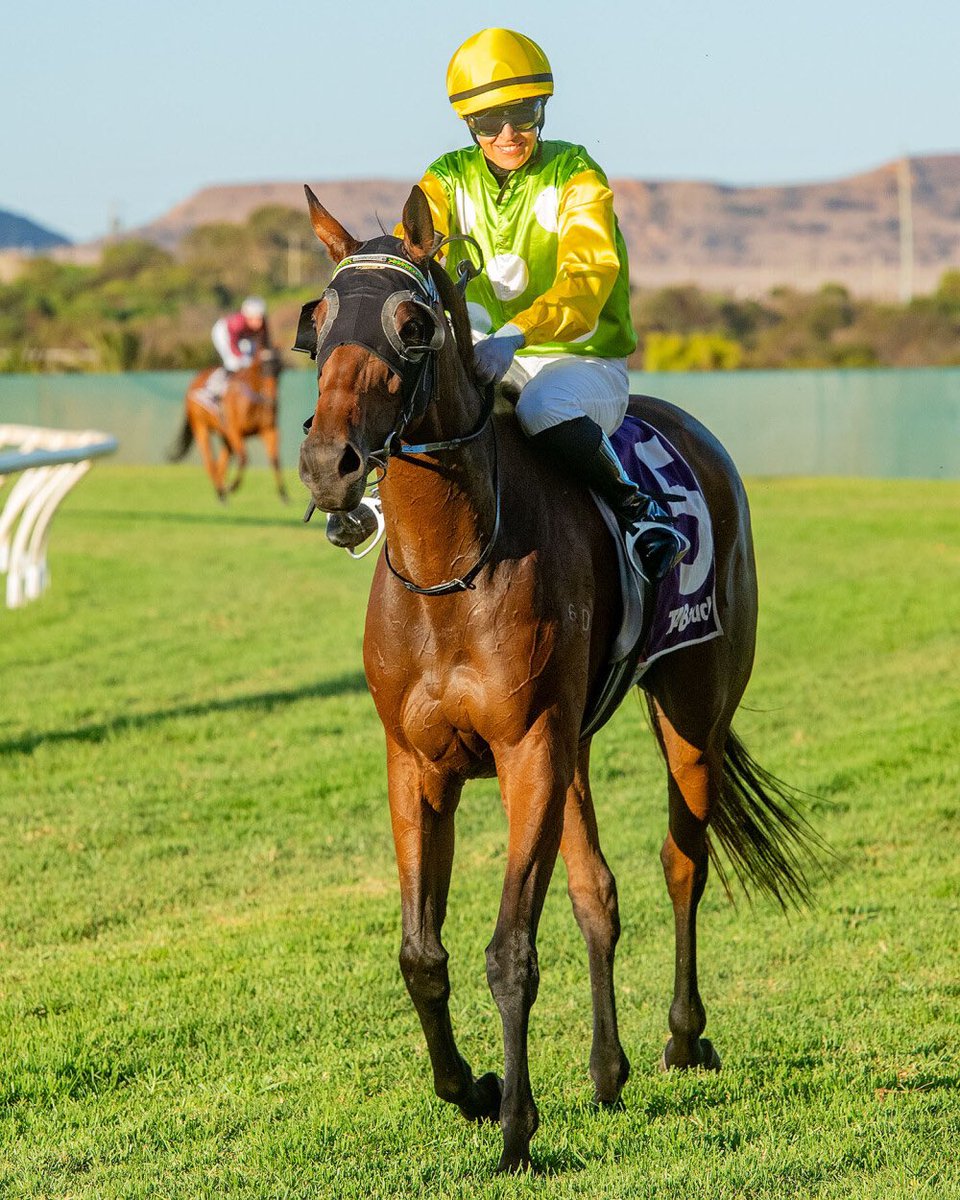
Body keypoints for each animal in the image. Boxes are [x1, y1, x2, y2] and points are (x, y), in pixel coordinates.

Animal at [169, 345, 289, 504]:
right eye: (263, 369)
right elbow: (244, 458)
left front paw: (283, 495)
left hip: (224, 435)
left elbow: (275, 459)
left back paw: (221, 491)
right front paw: (233, 486)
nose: (272, 400)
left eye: (279, 370)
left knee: (221, 463)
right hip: (201, 428)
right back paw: (221, 491)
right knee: (209, 461)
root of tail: (193, 382)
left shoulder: (269, 430)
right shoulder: (234, 431)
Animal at [294, 184, 816, 1171]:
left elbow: (510, 951)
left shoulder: (527, 749)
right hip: (574, 743)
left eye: (412, 325)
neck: (451, 572)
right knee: (597, 892)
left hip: (689, 712)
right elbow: (422, 953)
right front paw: (471, 1090)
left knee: (681, 862)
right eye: (315, 324)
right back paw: (608, 1071)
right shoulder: (419, 764)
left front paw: (515, 1129)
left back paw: (682, 1037)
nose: (328, 466)